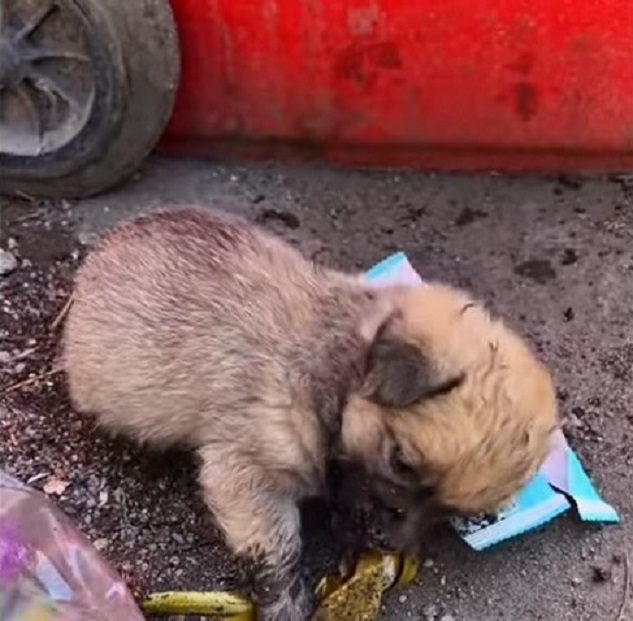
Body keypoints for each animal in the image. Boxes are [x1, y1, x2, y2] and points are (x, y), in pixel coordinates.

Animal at [61, 208, 556, 620]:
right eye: (401, 463)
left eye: (450, 514)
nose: (386, 541)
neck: (332, 366)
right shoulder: (247, 473)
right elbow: (277, 547)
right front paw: (284, 601)